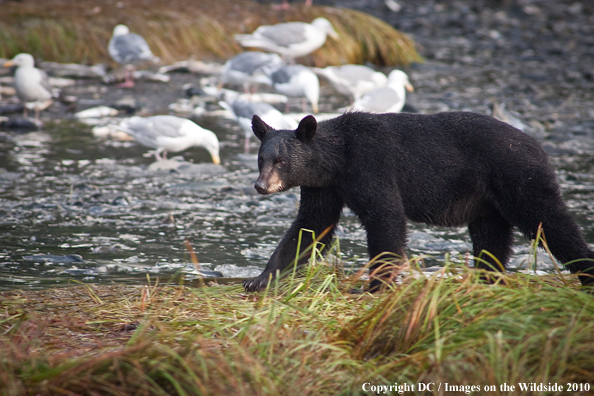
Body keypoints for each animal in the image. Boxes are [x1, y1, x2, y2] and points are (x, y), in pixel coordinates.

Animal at [243, 111, 592, 290]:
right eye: (261, 159)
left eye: (281, 162)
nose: (261, 186)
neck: (338, 158)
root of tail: (539, 146)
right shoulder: (323, 186)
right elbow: (311, 225)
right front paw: (259, 278)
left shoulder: (372, 164)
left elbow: (386, 215)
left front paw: (374, 285)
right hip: (487, 201)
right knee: (491, 236)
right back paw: (486, 277)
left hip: (517, 175)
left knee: (548, 220)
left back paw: (585, 271)